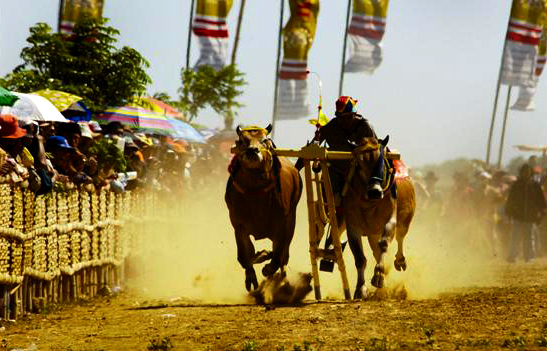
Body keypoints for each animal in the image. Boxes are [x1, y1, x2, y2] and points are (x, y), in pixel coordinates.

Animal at [226, 125, 304, 292]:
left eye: (264, 140)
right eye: (242, 140)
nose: (252, 151)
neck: (256, 192)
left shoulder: (281, 224)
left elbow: (277, 256)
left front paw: (267, 267)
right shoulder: (238, 225)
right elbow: (245, 256)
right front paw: (253, 272)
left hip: (291, 221)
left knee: (283, 256)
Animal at [344, 138, 418, 300]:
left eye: (382, 162)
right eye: (359, 165)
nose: (374, 191)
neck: (369, 203)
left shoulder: (390, 221)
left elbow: (384, 244)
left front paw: (378, 276)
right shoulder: (352, 226)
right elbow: (360, 258)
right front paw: (360, 288)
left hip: (405, 222)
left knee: (399, 239)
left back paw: (399, 261)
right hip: (373, 234)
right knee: (376, 251)